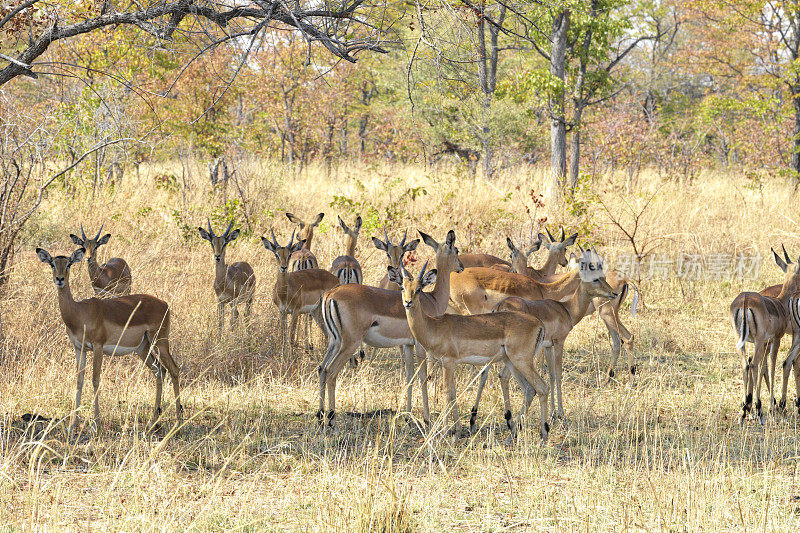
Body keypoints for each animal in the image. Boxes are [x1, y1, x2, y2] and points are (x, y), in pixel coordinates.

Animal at [36, 245, 182, 432]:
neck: (79, 312)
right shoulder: (79, 348)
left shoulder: (98, 347)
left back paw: (178, 421)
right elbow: (79, 381)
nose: (59, 279)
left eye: (69, 264)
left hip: (160, 342)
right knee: (160, 371)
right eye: (52, 264)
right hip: (143, 348)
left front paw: (96, 423)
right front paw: (72, 424)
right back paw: (153, 422)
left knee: (174, 370)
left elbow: (95, 380)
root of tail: (164, 304)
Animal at [316, 229, 460, 424]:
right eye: (456, 250)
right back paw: (331, 420)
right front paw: (426, 418)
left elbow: (409, 376)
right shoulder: (420, 345)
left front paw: (407, 415)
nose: (461, 267)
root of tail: (331, 294)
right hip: (349, 344)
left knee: (322, 369)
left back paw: (320, 415)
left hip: (335, 341)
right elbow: (422, 377)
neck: (432, 300)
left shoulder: (407, 345)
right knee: (331, 372)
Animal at [394, 262, 552, 440]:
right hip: (511, 362)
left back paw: (543, 434)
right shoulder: (449, 364)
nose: (408, 302)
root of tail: (539, 324)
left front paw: (445, 432)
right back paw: (511, 436)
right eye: (402, 287)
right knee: (529, 390)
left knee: (542, 388)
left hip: (521, 361)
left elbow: (447, 392)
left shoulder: (448, 362)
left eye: (419, 289)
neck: (434, 326)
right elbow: (453, 392)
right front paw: (456, 431)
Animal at [476, 250, 620, 428]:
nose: (614, 293)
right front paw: (560, 413)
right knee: (505, 376)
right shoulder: (559, 342)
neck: (566, 309)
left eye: (603, 276)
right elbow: (558, 374)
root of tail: (499, 306)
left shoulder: (548, 346)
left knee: (493, 374)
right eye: (595, 278)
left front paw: (552, 413)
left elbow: (550, 375)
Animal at [732, 246, 800, 424]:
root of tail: (745, 300)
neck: (780, 303)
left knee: (747, 364)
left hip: (743, 341)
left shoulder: (768, 341)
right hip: (760, 341)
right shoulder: (776, 339)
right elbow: (773, 365)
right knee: (757, 364)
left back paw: (745, 410)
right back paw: (762, 409)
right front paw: (771, 407)